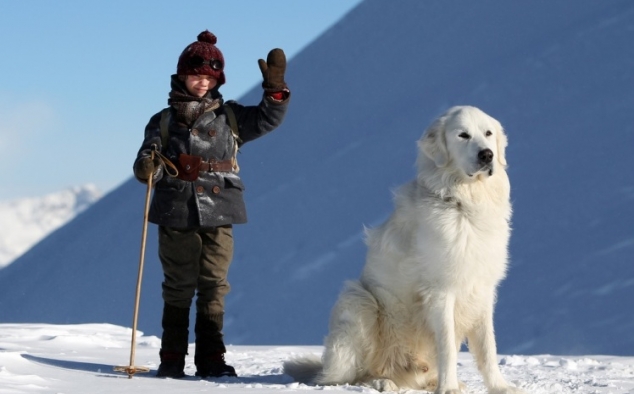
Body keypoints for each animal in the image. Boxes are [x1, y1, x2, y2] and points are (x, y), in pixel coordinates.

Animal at [282, 106, 524, 392]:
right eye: (463, 135)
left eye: (488, 133)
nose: (487, 154)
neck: (462, 203)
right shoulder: (440, 291)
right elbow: (447, 347)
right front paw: (449, 388)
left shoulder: (482, 289)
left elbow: (488, 348)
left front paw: (500, 387)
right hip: (359, 301)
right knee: (349, 377)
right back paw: (382, 381)